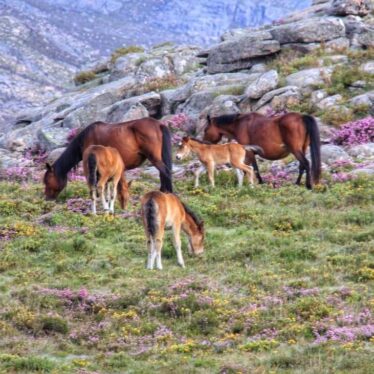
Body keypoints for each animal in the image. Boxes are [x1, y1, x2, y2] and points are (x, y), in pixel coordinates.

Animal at [44, 117, 173, 200]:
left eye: (47, 181)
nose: (46, 198)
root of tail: (159, 124)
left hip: (154, 157)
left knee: (165, 172)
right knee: (163, 173)